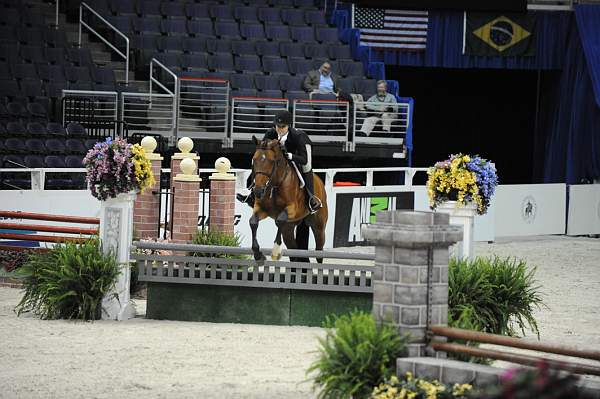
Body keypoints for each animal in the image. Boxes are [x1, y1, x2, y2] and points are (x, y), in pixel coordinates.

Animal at [251, 136, 330, 264]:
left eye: (271, 161)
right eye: (254, 160)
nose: (258, 191)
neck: (275, 185)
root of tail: (319, 181)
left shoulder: (292, 209)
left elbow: (279, 221)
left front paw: (275, 252)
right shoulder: (261, 209)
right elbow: (253, 222)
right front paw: (258, 255)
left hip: (319, 226)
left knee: (319, 252)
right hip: (289, 228)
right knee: (294, 252)